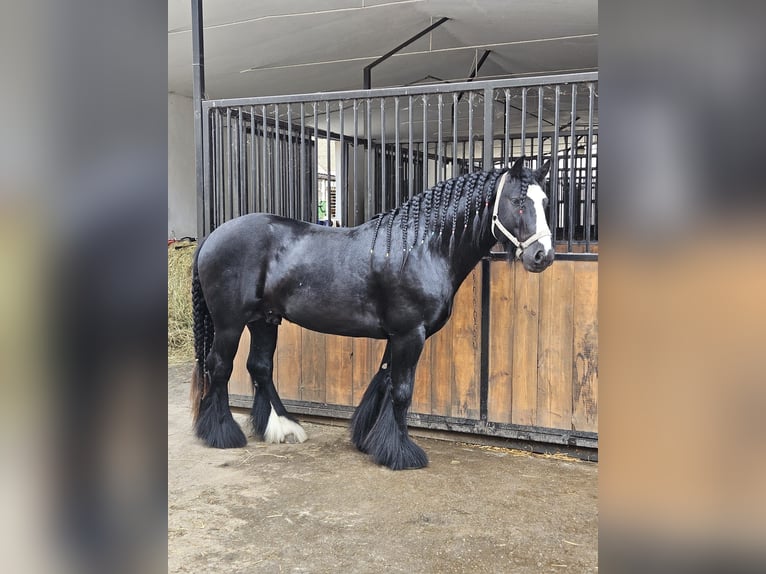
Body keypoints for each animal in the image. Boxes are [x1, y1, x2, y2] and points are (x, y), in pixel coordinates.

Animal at [190, 155, 552, 470]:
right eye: (518, 202)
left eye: (545, 202)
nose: (543, 256)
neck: (419, 248)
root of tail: (212, 236)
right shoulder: (410, 334)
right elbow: (402, 391)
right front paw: (401, 452)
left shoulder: (398, 336)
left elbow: (385, 381)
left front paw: (371, 440)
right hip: (230, 323)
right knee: (219, 367)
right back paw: (222, 433)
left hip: (264, 320)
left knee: (260, 367)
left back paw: (283, 428)